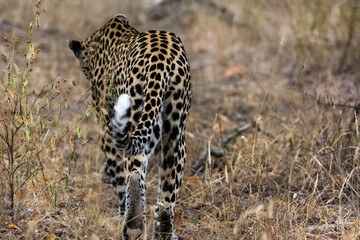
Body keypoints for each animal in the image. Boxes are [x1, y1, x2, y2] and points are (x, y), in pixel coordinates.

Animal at [67, 14, 191, 239]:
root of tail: (160, 60)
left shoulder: (106, 128)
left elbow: (117, 176)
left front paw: (118, 213)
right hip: (175, 129)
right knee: (168, 191)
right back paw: (164, 231)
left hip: (135, 114)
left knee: (133, 174)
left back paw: (132, 226)